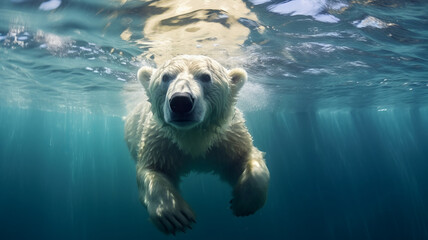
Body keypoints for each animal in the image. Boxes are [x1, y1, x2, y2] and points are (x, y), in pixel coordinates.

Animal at [125, 54, 270, 234]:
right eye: (165, 77)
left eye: (206, 77)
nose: (181, 102)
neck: (193, 136)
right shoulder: (161, 141)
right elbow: (152, 169)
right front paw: (175, 215)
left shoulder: (227, 138)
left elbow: (246, 156)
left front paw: (243, 203)